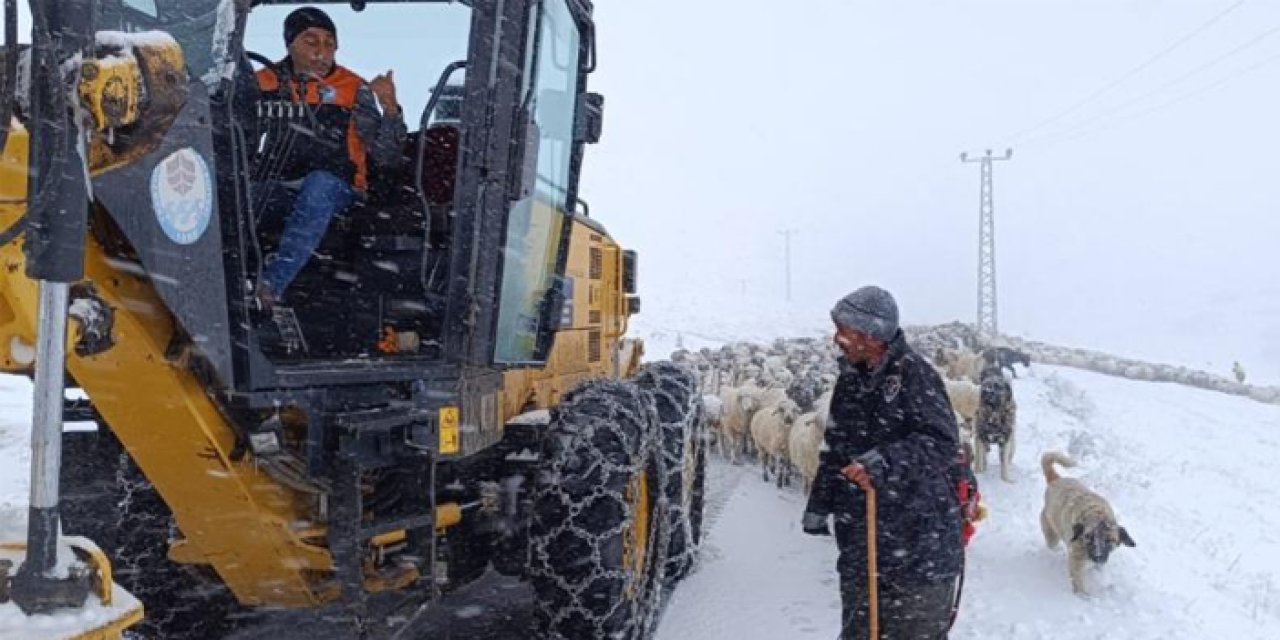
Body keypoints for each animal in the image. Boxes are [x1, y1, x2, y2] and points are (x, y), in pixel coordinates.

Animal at [1044, 450, 1136, 593]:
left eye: (1110, 540)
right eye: (1088, 537)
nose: (1098, 557)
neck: (1097, 515)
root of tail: (1056, 479)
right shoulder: (1076, 562)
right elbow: (1079, 584)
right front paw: (1084, 596)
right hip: (1051, 532)